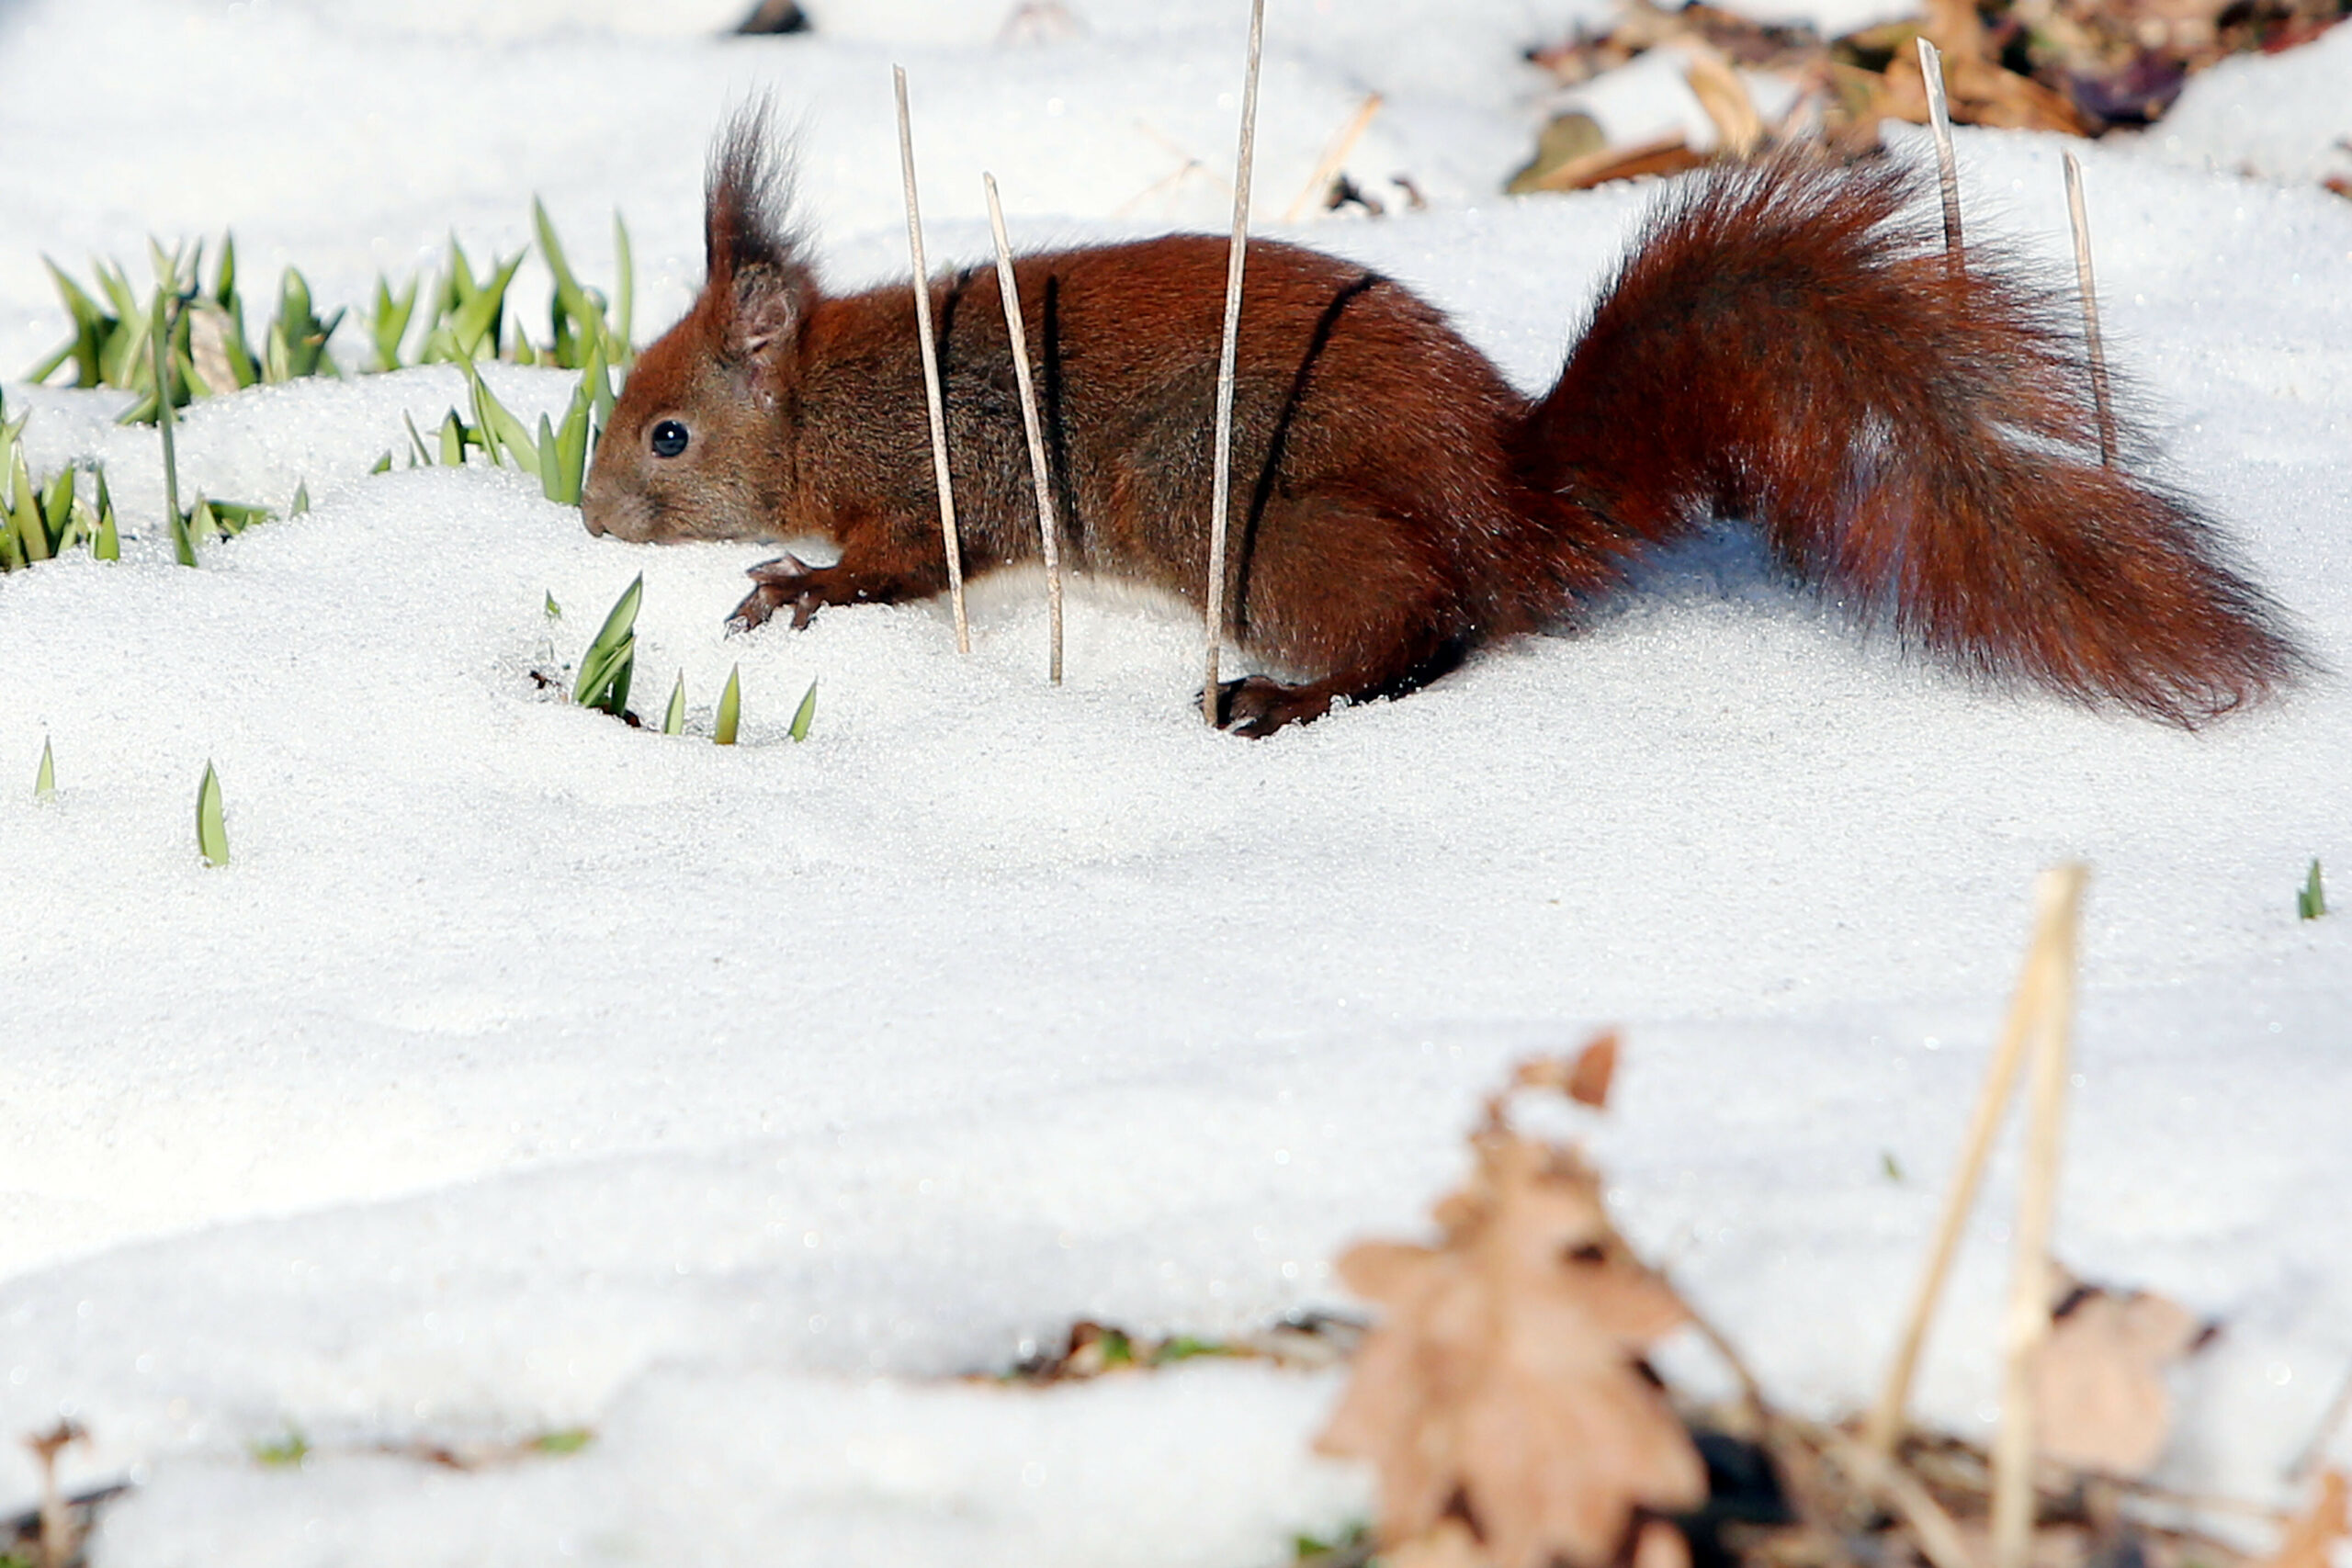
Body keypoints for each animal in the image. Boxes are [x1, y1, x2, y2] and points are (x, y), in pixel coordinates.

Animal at [581, 113, 2303, 736]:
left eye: (665, 437)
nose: (589, 518)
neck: (827, 399)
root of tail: (1514, 496)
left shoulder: (936, 476)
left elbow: (909, 563)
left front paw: (796, 587)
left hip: (1288, 531)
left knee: (1429, 631)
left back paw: (1283, 696)